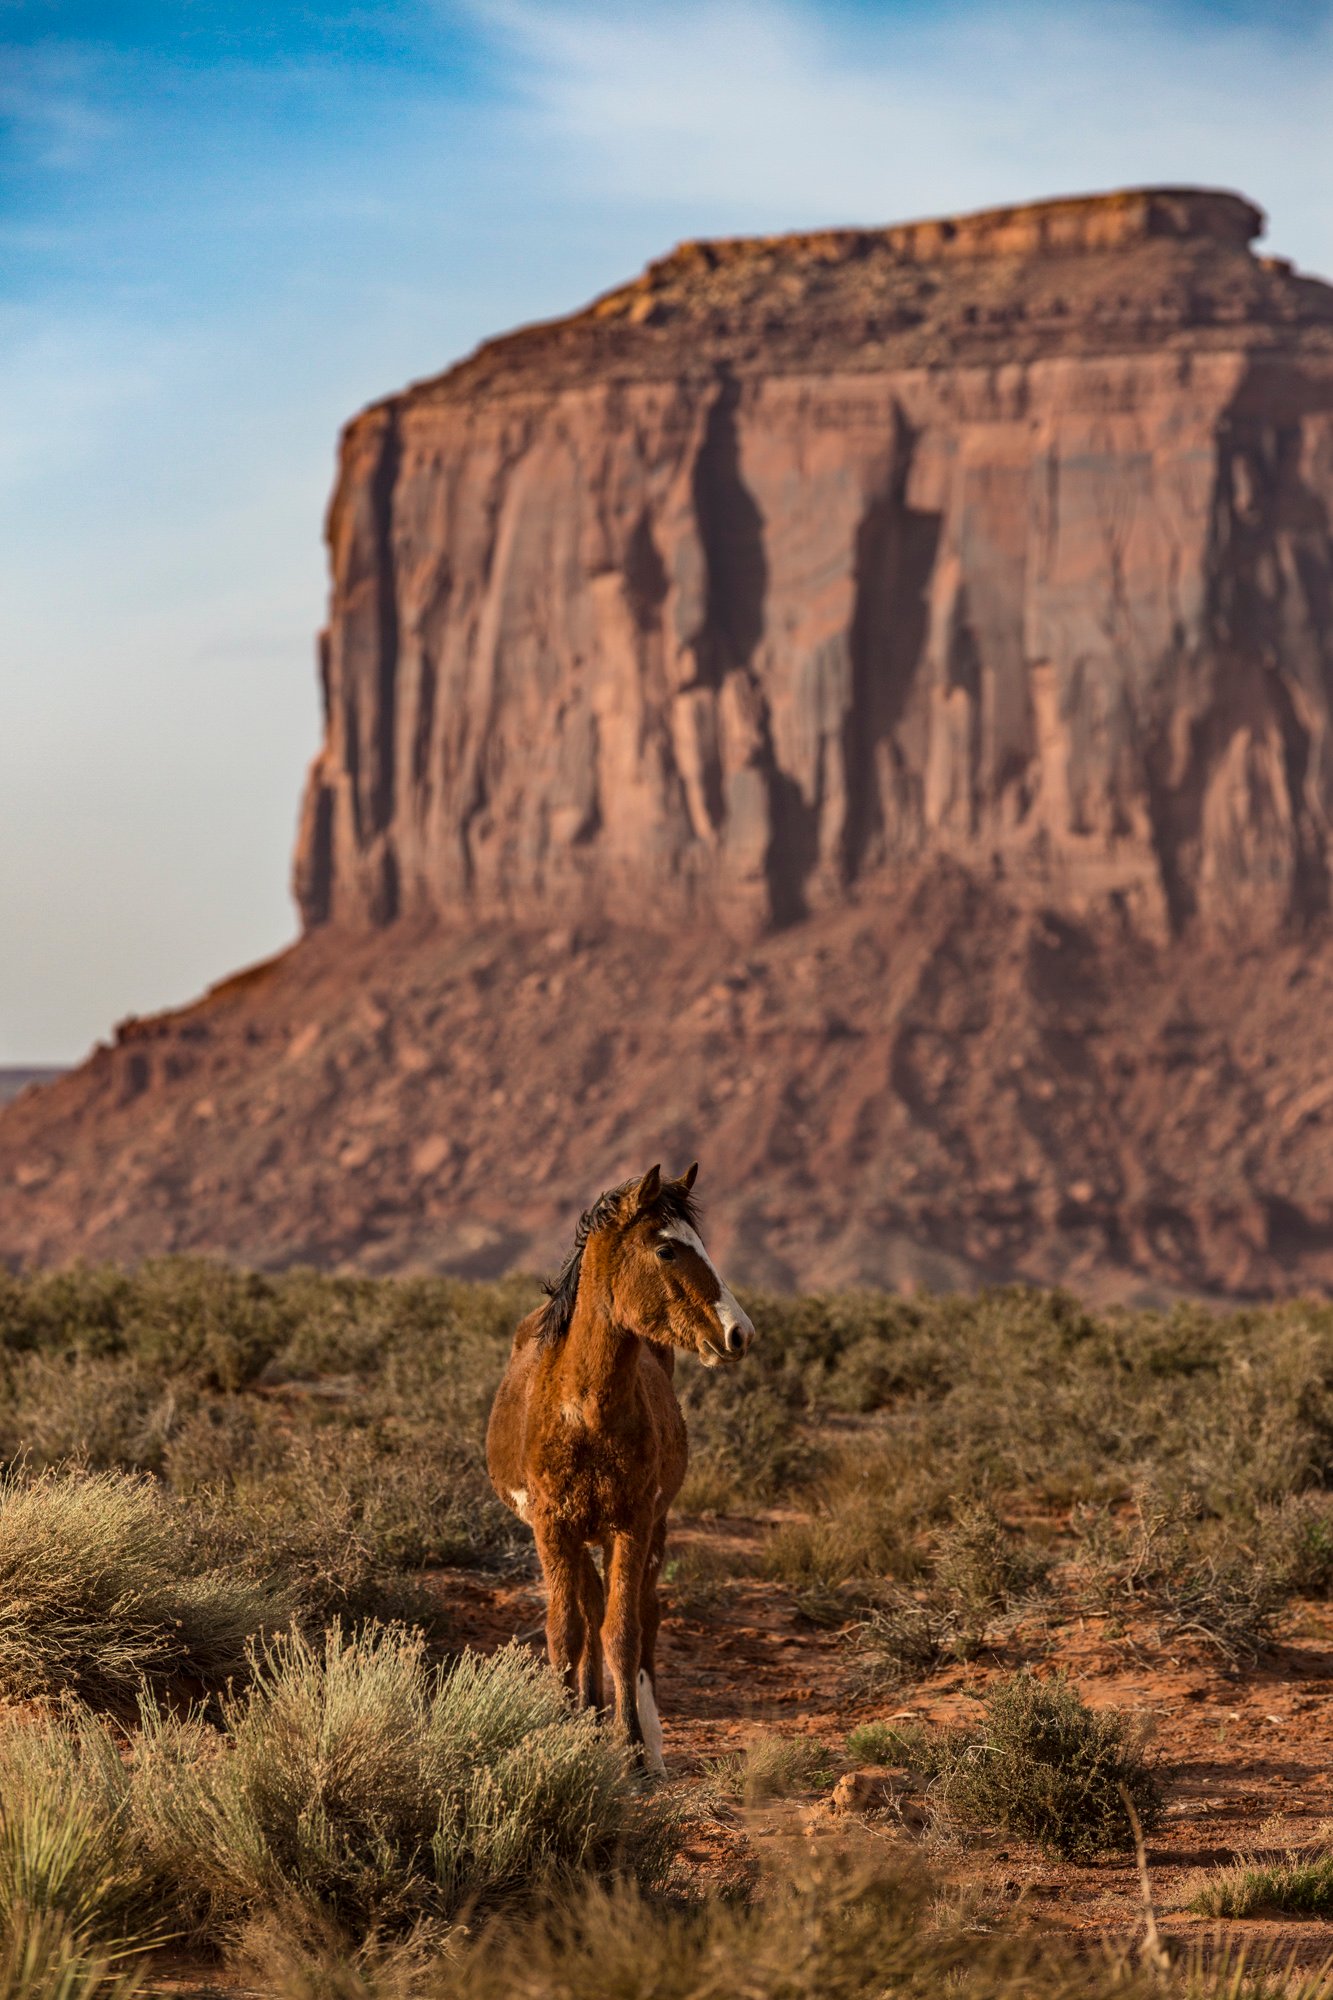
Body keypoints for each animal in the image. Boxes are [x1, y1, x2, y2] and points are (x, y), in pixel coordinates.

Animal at [485, 1162, 755, 1774]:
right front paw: (565, 1730)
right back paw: (587, 1715)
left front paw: (631, 1746)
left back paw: (645, 1739)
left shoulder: (630, 1524)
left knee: (642, 1615)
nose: (740, 1333)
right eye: (666, 1249)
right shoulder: (553, 1529)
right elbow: (566, 1632)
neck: (584, 1410)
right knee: (587, 1609)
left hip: (652, 1526)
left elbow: (623, 1631)